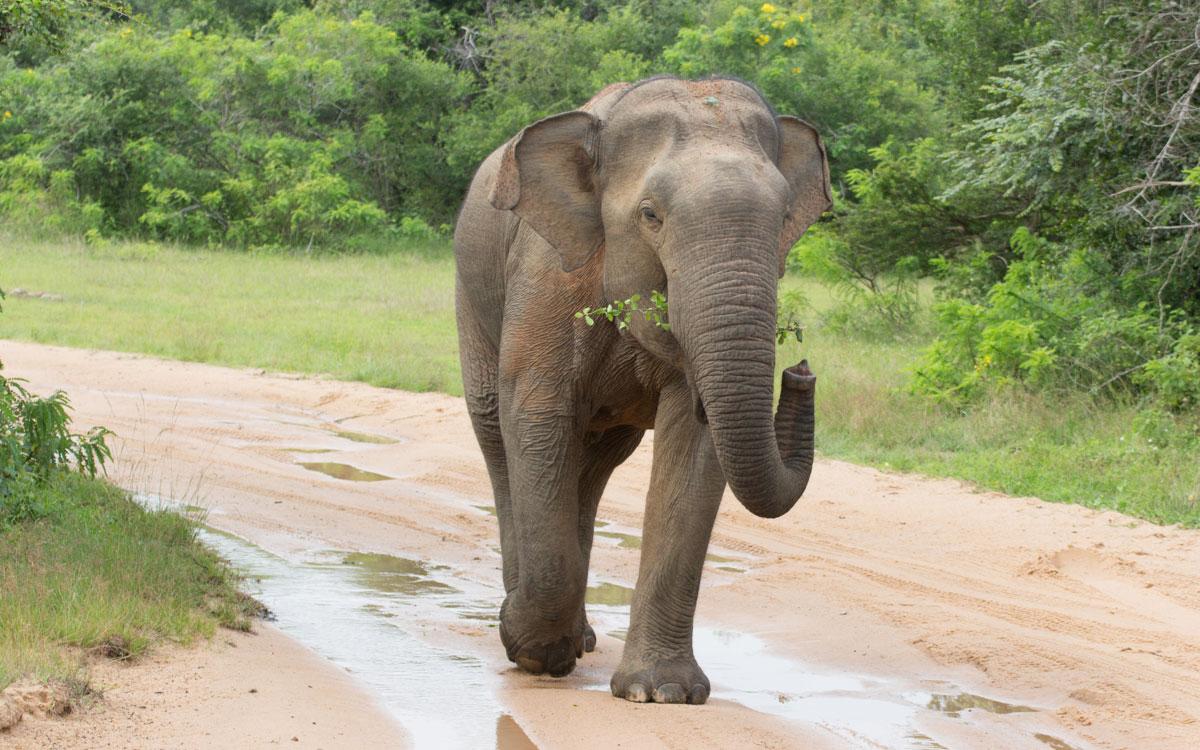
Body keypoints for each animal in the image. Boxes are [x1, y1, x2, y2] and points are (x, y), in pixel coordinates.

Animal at [454, 76, 831, 704]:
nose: (800, 370)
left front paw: (661, 694)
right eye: (650, 215)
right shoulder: (547, 272)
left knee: (595, 462)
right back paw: (538, 632)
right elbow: (536, 413)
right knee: (496, 435)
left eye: (784, 217)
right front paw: (535, 653)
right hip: (472, 298)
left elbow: (697, 445)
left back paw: (579, 638)